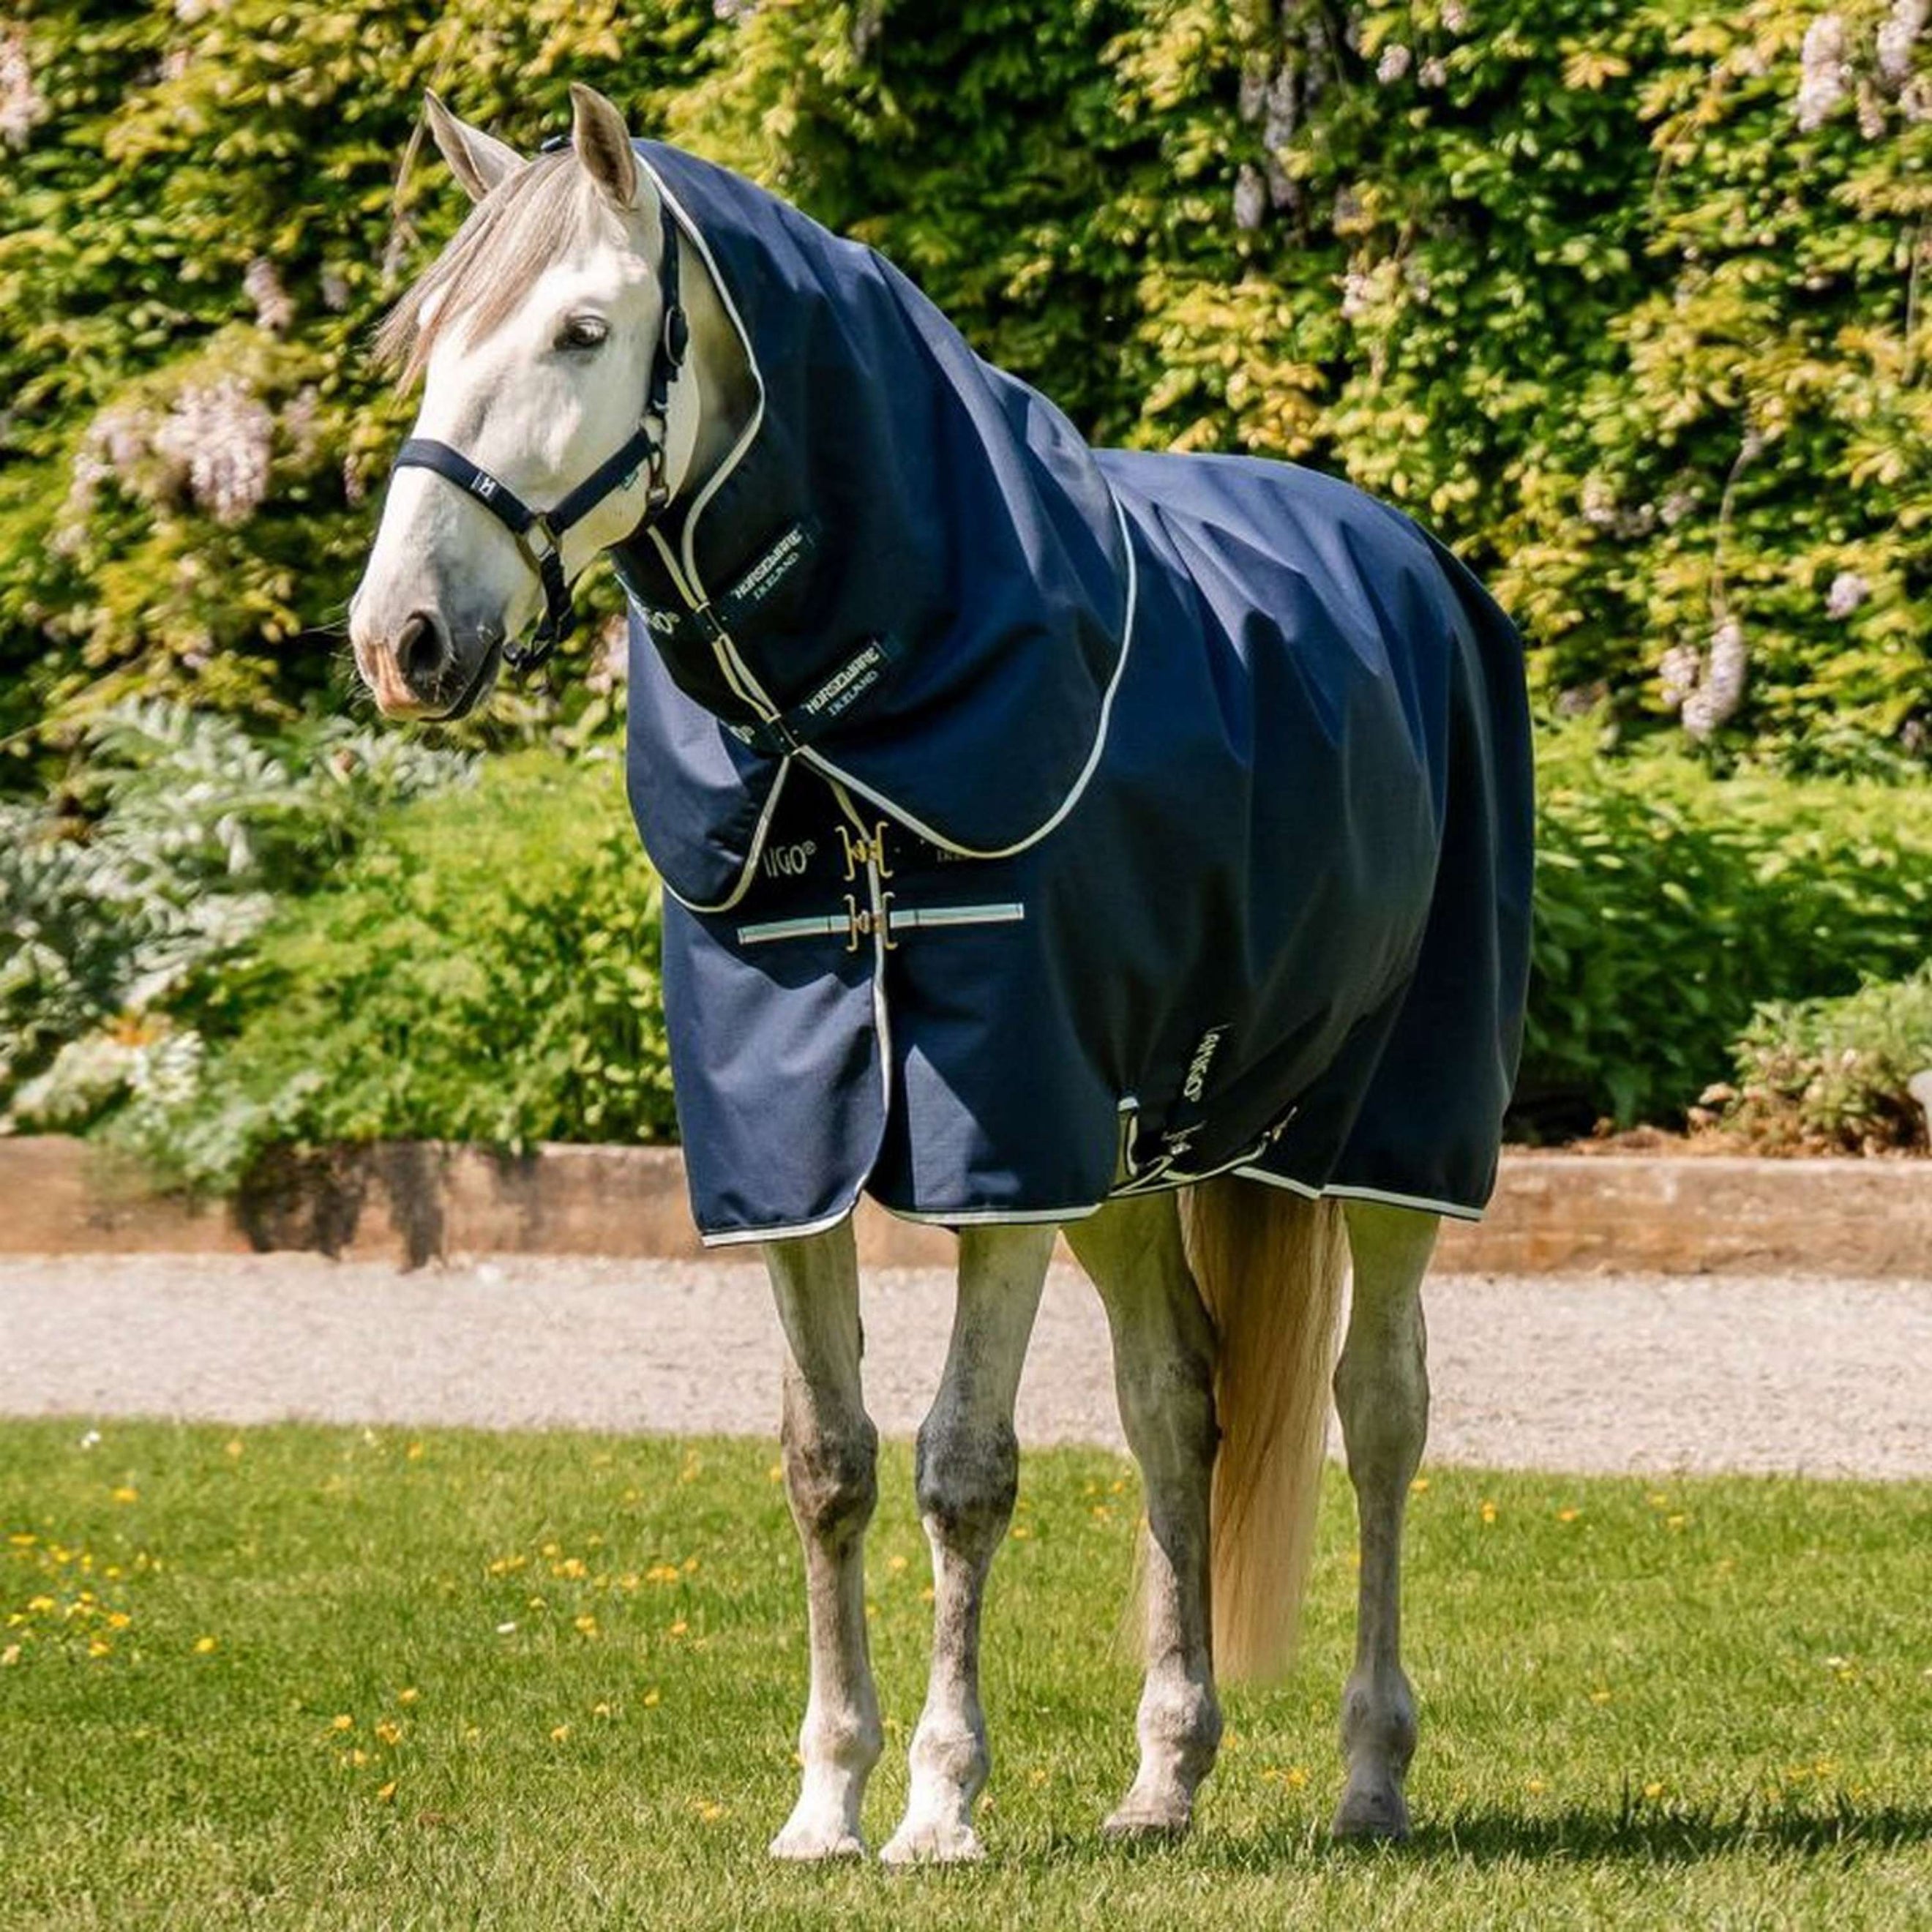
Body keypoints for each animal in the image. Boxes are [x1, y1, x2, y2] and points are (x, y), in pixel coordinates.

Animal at [349, 84, 1534, 1864]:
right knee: (1179, 1402)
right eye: (429, 343)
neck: (841, 743)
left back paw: (1373, 1773)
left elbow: (962, 1469)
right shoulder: (793, 1145)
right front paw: (825, 1802)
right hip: (1134, 1155)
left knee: (1380, 1410)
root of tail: (1410, 565)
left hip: (1389, 1132)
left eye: (580, 331)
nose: (401, 637)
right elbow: (827, 1462)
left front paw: (938, 1804)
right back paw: (1163, 1778)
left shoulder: (1007, 1154)